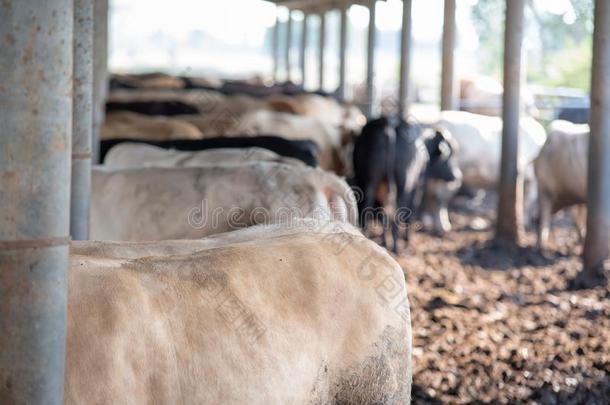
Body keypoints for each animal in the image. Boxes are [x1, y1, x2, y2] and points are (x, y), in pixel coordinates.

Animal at [350, 115, 458, 251]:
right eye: (447, 156)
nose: (456, 176)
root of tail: (389, 122)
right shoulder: (418, 186)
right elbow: (411, 210)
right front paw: (407, 239)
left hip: (370, 179)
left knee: (369, 204)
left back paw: (369, 237)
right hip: (404, 181)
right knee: (399, 207)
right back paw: (396, 246)